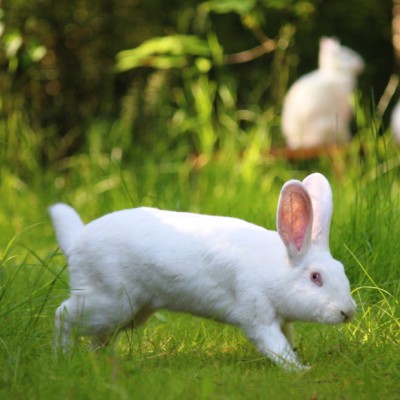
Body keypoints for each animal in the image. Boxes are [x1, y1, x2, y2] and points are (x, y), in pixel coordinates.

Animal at [50, 173, 356, 370]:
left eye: (341, 269)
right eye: (315, 277)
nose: (348, 312)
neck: (276, 268)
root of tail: (75, 241)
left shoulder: (281, 321)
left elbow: (288, 340)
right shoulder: (258, 316)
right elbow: (275, 347)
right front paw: (301, 370)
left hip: (129, 314)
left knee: (97, 338)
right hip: (108, 302)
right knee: (63, 315)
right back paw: (63, 358)